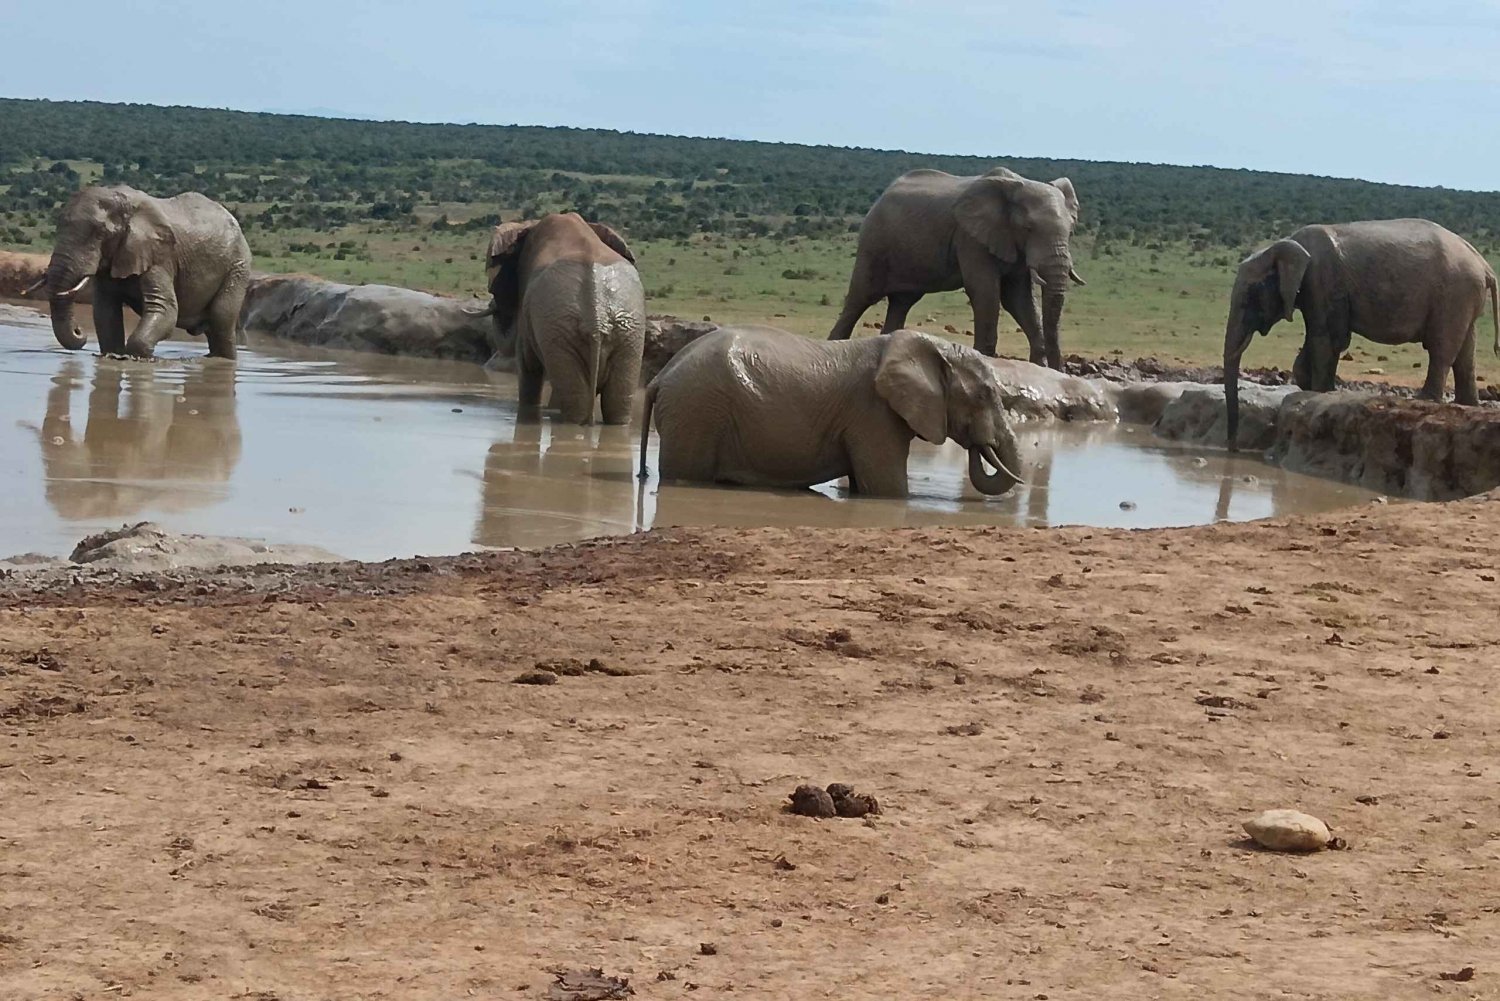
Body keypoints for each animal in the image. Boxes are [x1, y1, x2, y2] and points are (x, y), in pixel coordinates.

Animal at [33, 183, 252, 360]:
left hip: (238, 266)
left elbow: (165, 309)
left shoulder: (160, 256)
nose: (80, 331)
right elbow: (105, 310)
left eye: (100, 234)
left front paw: (137, 358)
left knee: (221, 318)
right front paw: (112, 355)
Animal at [639, 327, 1026, 498]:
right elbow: (888, 489)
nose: (980, 442)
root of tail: (660, 377)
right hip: (696, 412)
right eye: (985, 394)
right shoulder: (872, 415)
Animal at [828, 166, 1086, 366]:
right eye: (1028, 228)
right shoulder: (970, 237)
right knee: (860, 297)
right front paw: (985, 361)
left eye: (1070, 230)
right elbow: (985, 291)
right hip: (874, 242)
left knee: (901, 302)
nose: (1058, 371)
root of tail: (881, 196)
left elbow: (1018, 299)